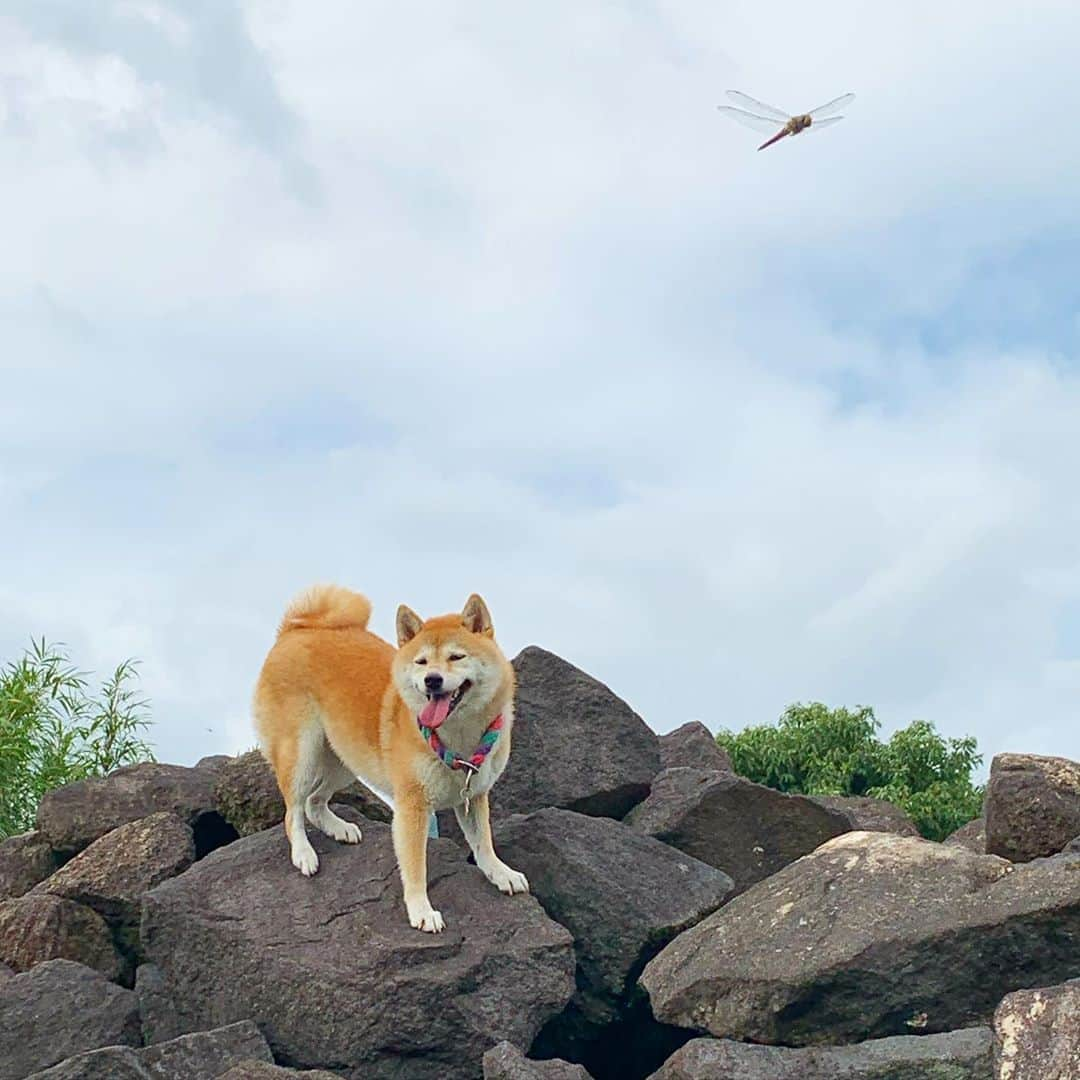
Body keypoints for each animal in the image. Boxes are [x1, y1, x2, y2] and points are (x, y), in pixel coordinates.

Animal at [249, 587, 527, 933]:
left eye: (456, 657)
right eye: (422, 661)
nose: (432, 680)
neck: (459, 737)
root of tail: (293, 631)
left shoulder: (473, 794)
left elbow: (483, 844)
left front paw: (500, 873)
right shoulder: (412, 806)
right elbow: (416, 866)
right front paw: (421, 910)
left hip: (347, 760)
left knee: (314, 802)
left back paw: (338, 828)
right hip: (302, 753)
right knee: (293, 811)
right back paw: (303, 853)